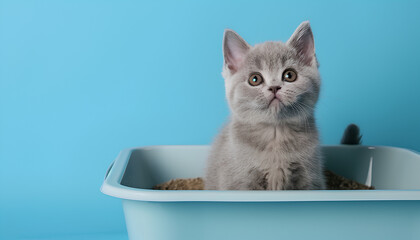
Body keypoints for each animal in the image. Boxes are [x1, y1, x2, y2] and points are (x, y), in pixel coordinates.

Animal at [203, 22, 324, 191]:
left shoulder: (310, 179)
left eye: (289, 75)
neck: (276, 134)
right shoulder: (238, 181)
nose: (274, 87)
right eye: (255, 79)